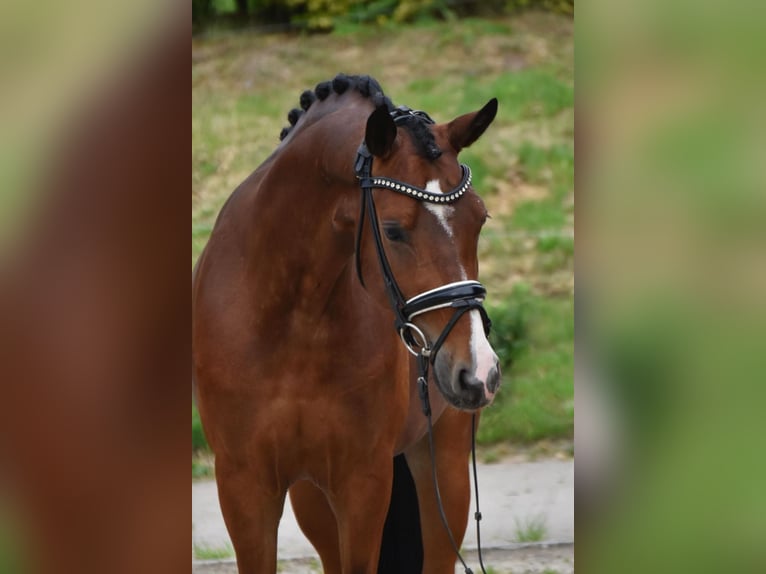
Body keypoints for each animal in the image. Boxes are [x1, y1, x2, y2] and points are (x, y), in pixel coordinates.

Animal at [192, 73, 501, 573]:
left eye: (480, 218)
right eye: (393, 230)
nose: (479, 371)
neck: (292, 319)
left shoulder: (363, 484)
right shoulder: (244, 485)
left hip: (445, 469)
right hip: (311, 496)